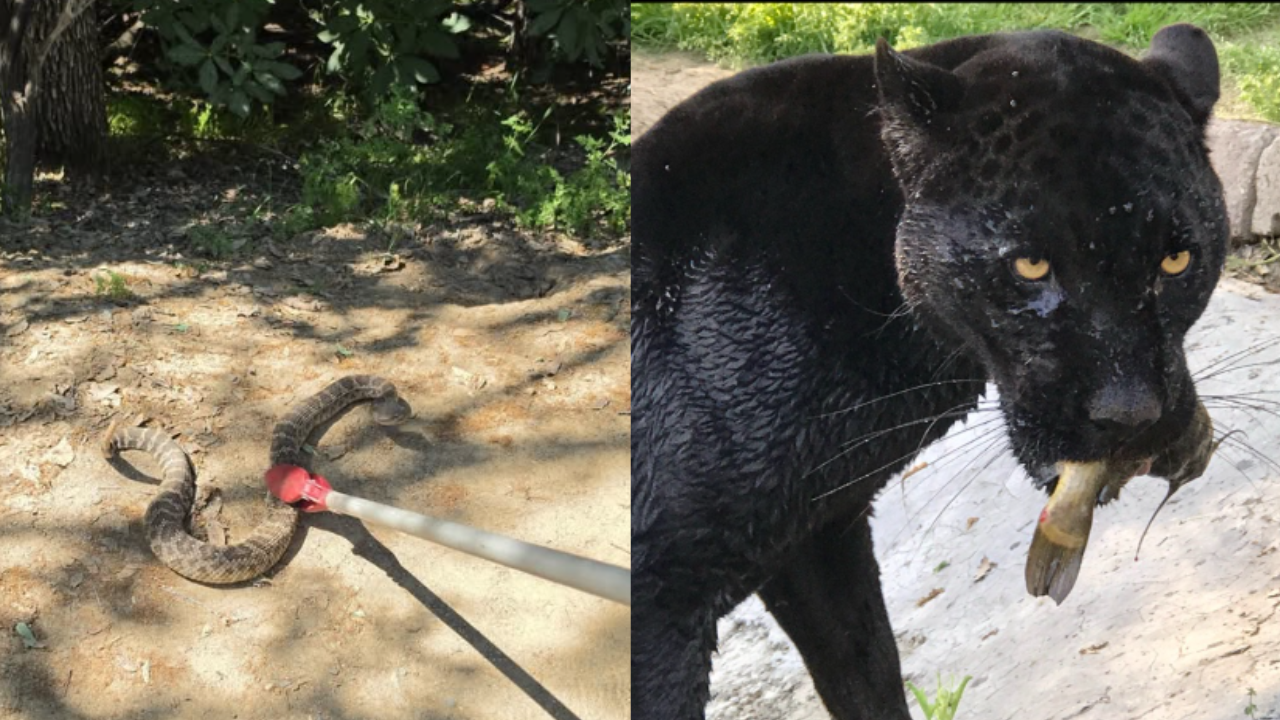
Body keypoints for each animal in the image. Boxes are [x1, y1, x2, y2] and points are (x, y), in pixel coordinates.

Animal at [631, 24, 1227, 719]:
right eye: (1030, 266)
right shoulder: (663, 597)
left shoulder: (816, 536)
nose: (1131, 412)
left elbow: (868, 671)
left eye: (1176, 261)